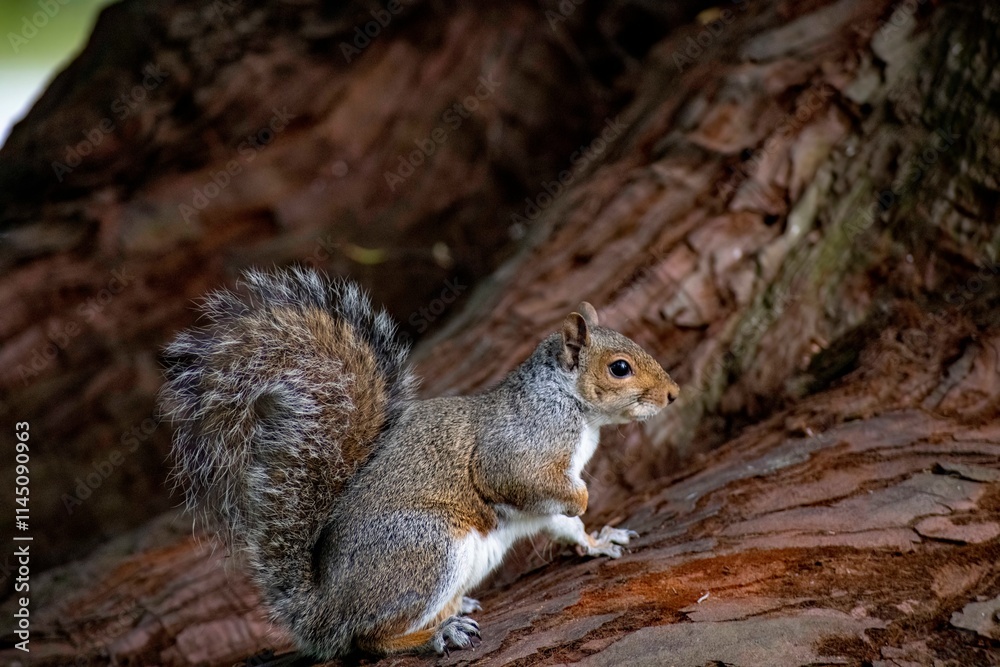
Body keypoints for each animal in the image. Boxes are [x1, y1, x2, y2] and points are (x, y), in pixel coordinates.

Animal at [159, 266, 679, 659]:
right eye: (619, 367)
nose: (673, 394)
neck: (572, 406)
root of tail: (325, 610)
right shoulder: (520, 447)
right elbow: (523, 481)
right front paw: (584, 499)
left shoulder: (545, 504)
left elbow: (566, 527)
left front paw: (599, 540)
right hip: (427, 547)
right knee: (368, 640)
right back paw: (437, 634)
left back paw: (456, 611)